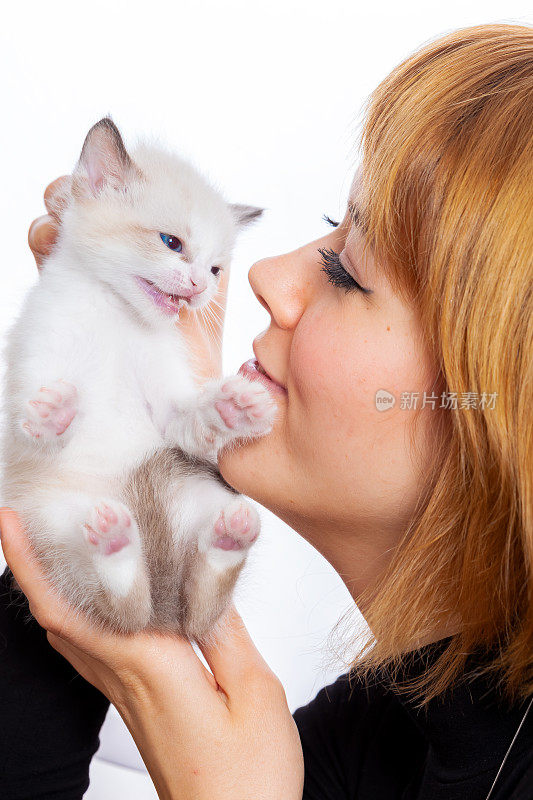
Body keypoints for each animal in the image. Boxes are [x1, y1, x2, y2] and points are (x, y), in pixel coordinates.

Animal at [0, 119, 274, 640]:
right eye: (171, 243)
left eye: (215, 269)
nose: (199, 287)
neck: (116, 313)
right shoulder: (26, 382)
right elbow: (32, 426)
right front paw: (54, 413)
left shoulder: (169, 413)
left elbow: (190, 418)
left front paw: (230, 408)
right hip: (56, 527)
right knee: (126, 611)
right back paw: (116, 542)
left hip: (203, 497)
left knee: (196, 608)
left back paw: (227, 538)